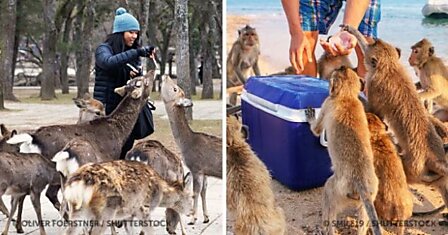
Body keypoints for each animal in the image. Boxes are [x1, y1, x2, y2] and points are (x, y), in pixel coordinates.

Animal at [61, 160, 191, 235]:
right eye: (191, 197)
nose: (191, 212)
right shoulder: (144, 208)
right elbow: (149, 231)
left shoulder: (128, 214)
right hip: (107, 210)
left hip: (77, 210)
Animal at [161, 75, 224, 224]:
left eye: (175, 88)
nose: (166, 75)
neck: (186, 143)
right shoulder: (205, 171)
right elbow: (203, 191)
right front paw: (206, 217)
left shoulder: (196, 167)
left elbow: (195, 192)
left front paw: (193, 218)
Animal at [304, 65, 382, 235]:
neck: (347, 97)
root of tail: (360, 182)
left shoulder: (327, 103)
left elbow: (316, 130)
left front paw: (311, 119)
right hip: (371, 191)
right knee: (363, 214)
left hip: (339, 189)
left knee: (328, 193)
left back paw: (327, 229)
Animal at [344, 25, 448, 209]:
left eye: (372, 44)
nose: (372, 40)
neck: (389, 66)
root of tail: (436, 157)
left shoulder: (374, 85)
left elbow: (374, 113)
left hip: (414, 167)